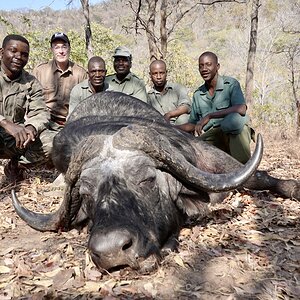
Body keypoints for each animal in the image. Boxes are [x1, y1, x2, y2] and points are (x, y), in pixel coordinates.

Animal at [11, 91, 300, 272]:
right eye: (86, 193)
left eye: (147, 179)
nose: (111, 250)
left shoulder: (208, 156)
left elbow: (259, 177)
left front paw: (292, 187)